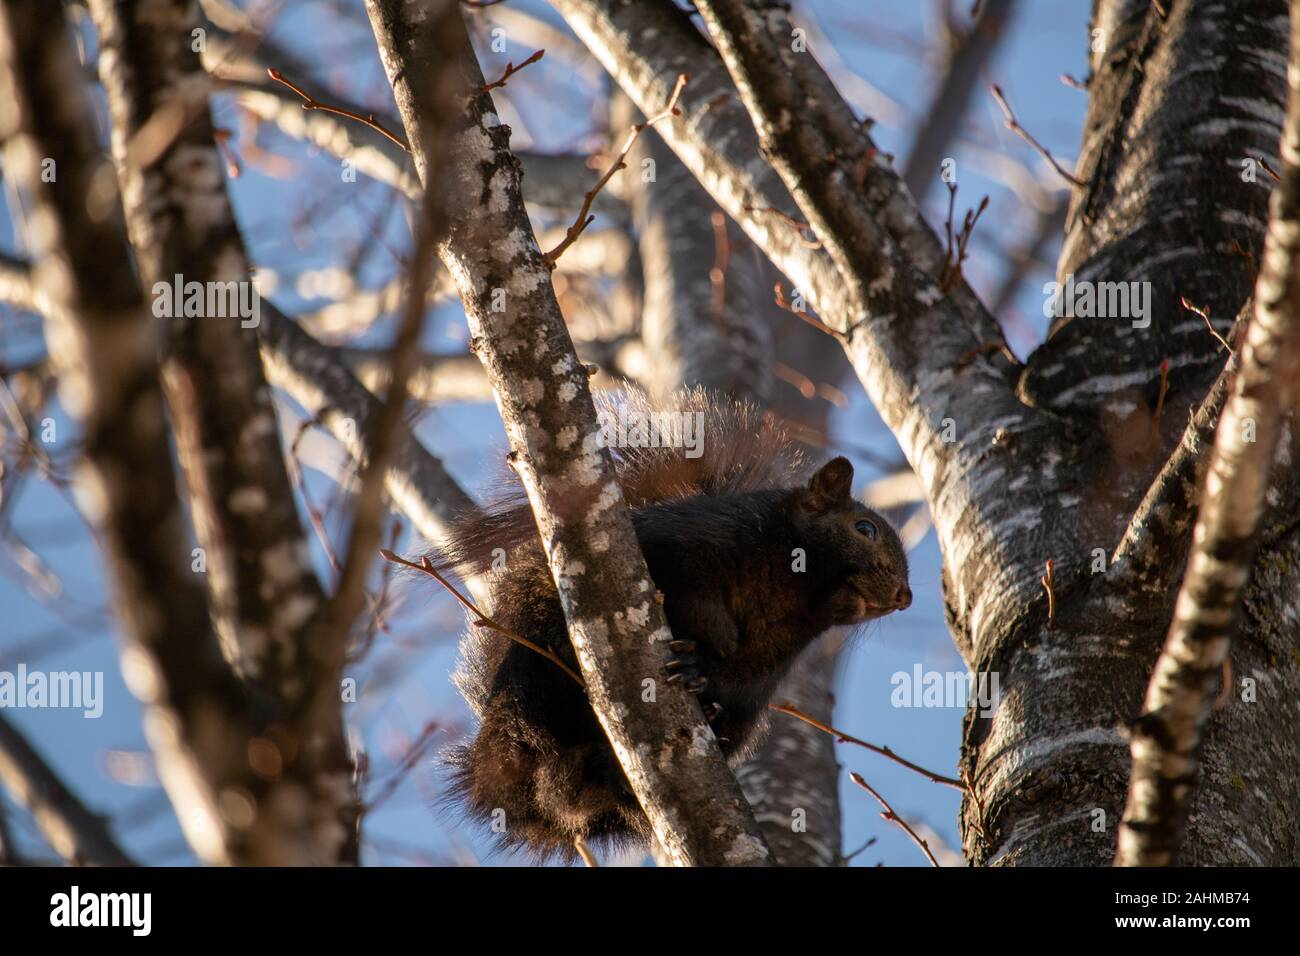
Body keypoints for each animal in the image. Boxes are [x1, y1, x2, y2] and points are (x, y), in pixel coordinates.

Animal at [436, 392, 904, 863]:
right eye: (864, 528)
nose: (905, 596)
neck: (791, 588)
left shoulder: (778, 649)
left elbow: (741, 677)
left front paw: (703, 673)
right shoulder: (683, 541)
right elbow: (687, 588)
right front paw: (714, 632)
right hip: (531, 655)